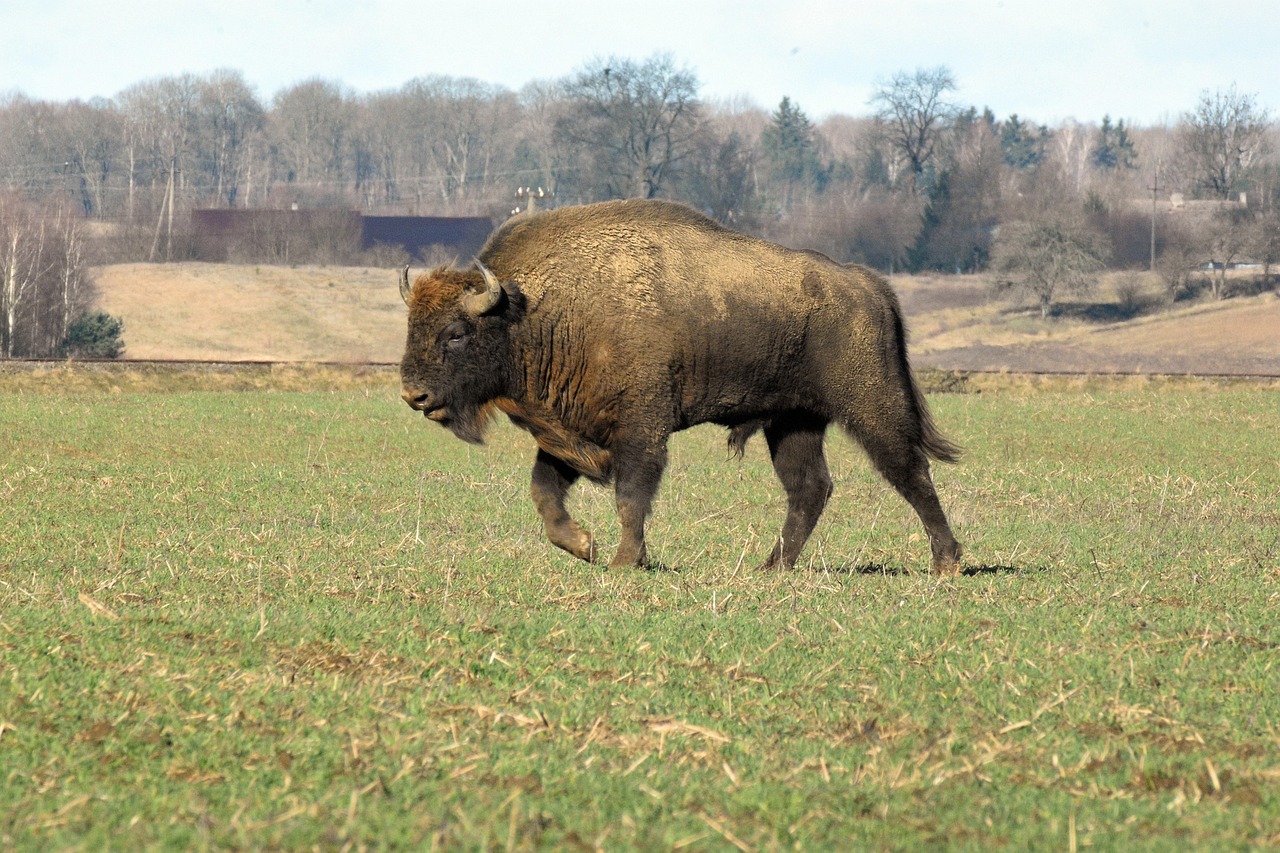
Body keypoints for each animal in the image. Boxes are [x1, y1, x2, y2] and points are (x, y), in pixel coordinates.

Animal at [399, 199, 963, 573]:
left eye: (455, 332)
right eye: (412, 325)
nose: (413, 395)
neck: (533, 312)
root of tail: (869, 284)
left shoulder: (639, 430)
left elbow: (631, 496)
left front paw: (624, 561)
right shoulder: (568, 432)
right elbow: (545, 492)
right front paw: (584, 546)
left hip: (871, 406)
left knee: (910, 471)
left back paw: (947, 562)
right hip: (793, 422)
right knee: (810, 488)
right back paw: (771, 567)